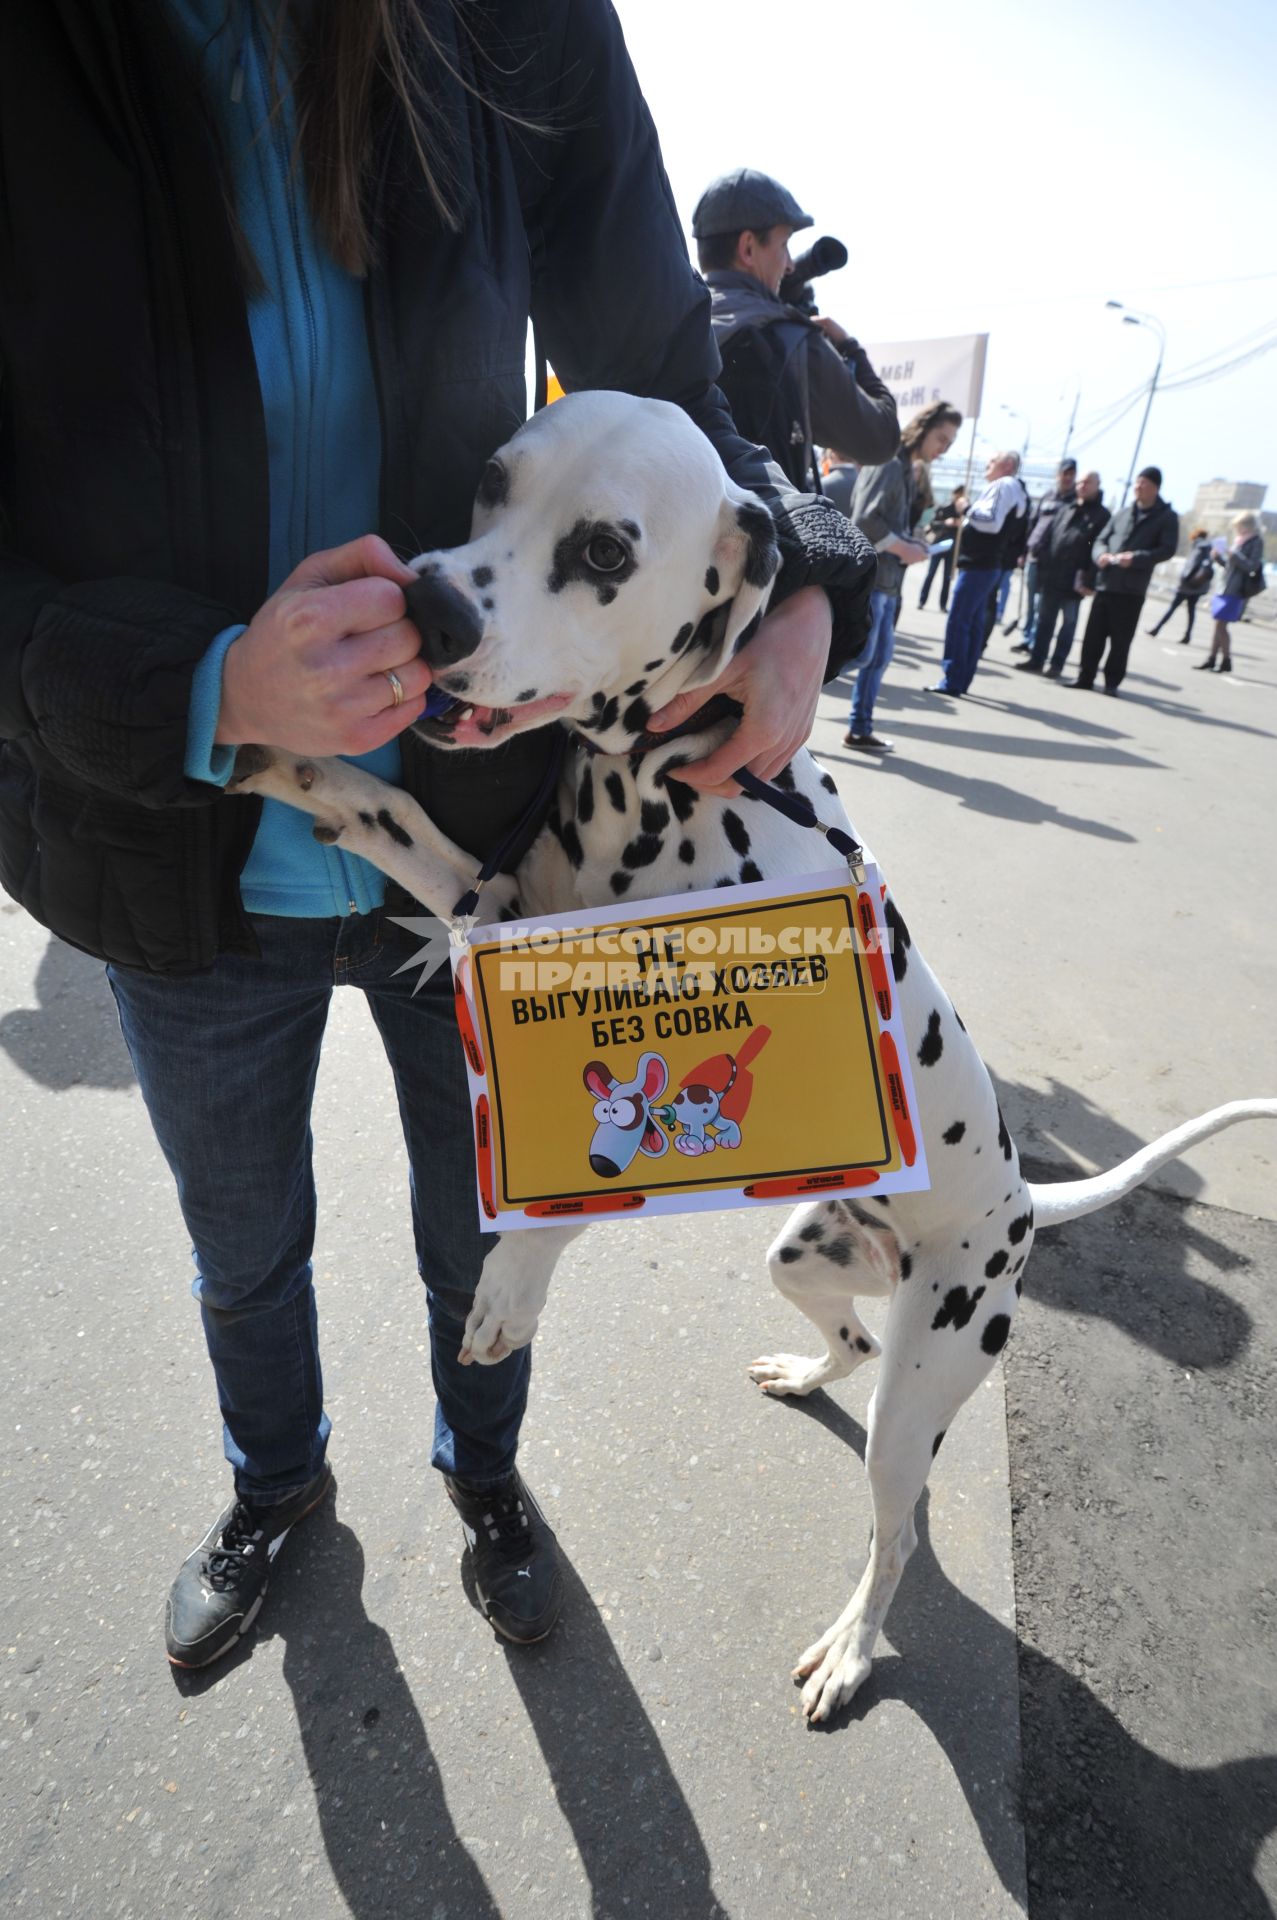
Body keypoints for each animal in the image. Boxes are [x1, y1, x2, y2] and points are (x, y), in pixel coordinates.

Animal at [229, 389, 1275, 1728]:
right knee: (852, 1345)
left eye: (604, 551)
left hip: (927, 1381)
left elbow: (578, 1192)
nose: (429, 607)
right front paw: (288, 750)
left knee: (895, 1532)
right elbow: (391, 814)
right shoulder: (500, 904)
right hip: (805, 1252)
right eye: (492, 479)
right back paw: (805, 1372)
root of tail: (1021, 1202)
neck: (652, 786)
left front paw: (511, 1286)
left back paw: (850, 1651)